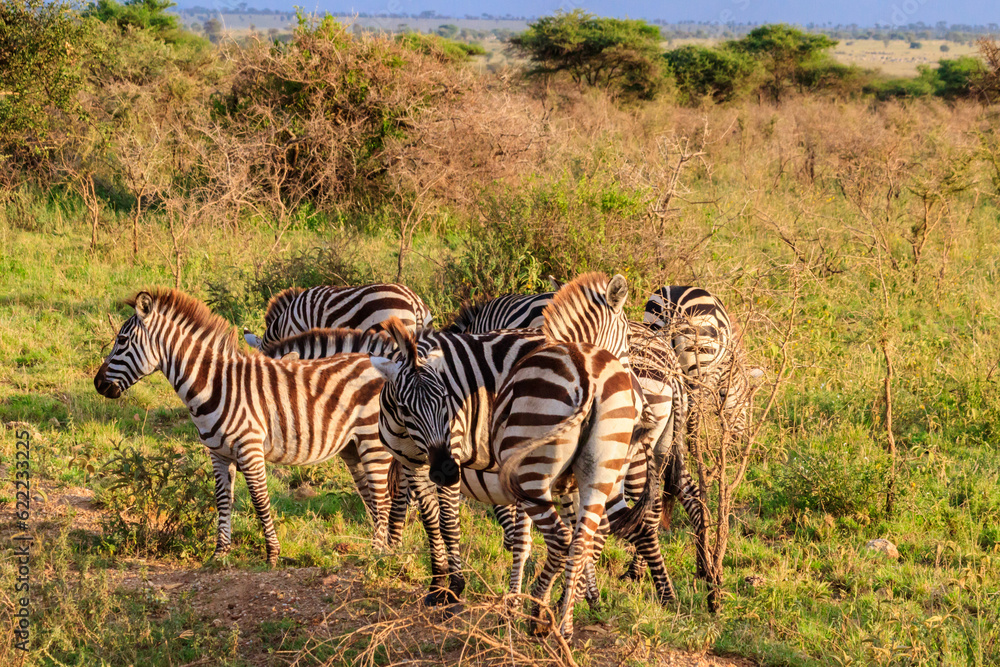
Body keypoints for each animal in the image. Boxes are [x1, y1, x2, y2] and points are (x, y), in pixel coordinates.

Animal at [93, 289, 403, 566]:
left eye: (121, 340)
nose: (97, 384)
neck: (213, 384)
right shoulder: (218, 454)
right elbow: (222, 500)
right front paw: (219, 555)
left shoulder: (250, 449)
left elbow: (260, 501)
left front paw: (272, 555)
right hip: (353, 447)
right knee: (373, 499)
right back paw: (384, 551)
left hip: (373, 444)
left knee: (383, 500)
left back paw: (376, 555)